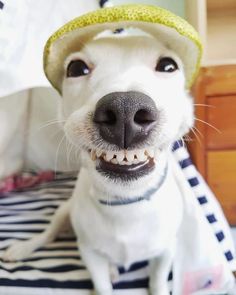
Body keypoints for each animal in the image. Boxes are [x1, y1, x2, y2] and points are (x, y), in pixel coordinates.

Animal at [4, 32, 195, 295]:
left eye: (168, 66)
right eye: (76, 68)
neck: (125, 203)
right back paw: (24, 248)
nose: (125, 109)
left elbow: (157, 279)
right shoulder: (89, 252)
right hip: (65, 211)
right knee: (49, 234)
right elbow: (101, 283)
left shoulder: (166, 251)